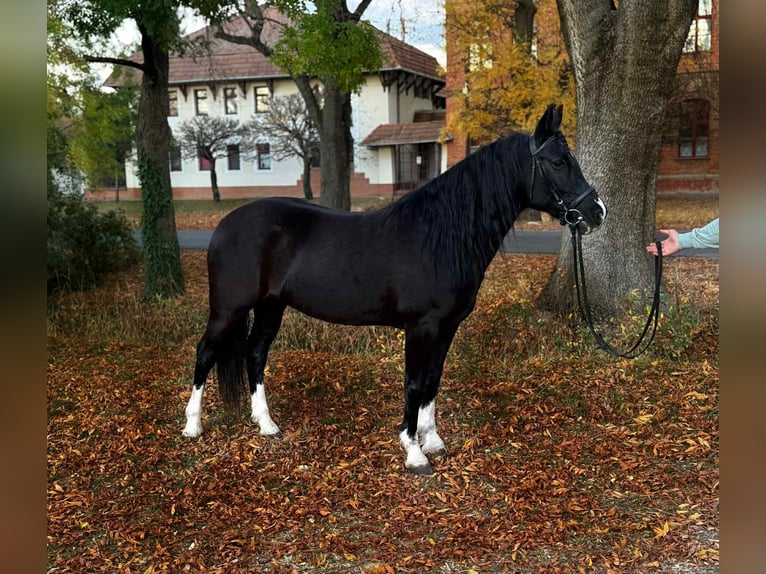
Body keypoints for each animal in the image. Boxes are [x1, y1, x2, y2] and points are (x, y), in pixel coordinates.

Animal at [182, 104, 607, 474]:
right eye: (559, 162)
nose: (597, 212)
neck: (439, 237)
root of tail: (224, 226)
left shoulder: (447, 327)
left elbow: (433, 379)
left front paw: (433, 440)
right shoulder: (422, 327)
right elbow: (415, 383)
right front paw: (414, 453)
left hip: (271, 307)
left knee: (255, 353)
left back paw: (267, 425)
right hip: (229, 309)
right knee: (205, 352)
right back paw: (192, 426)